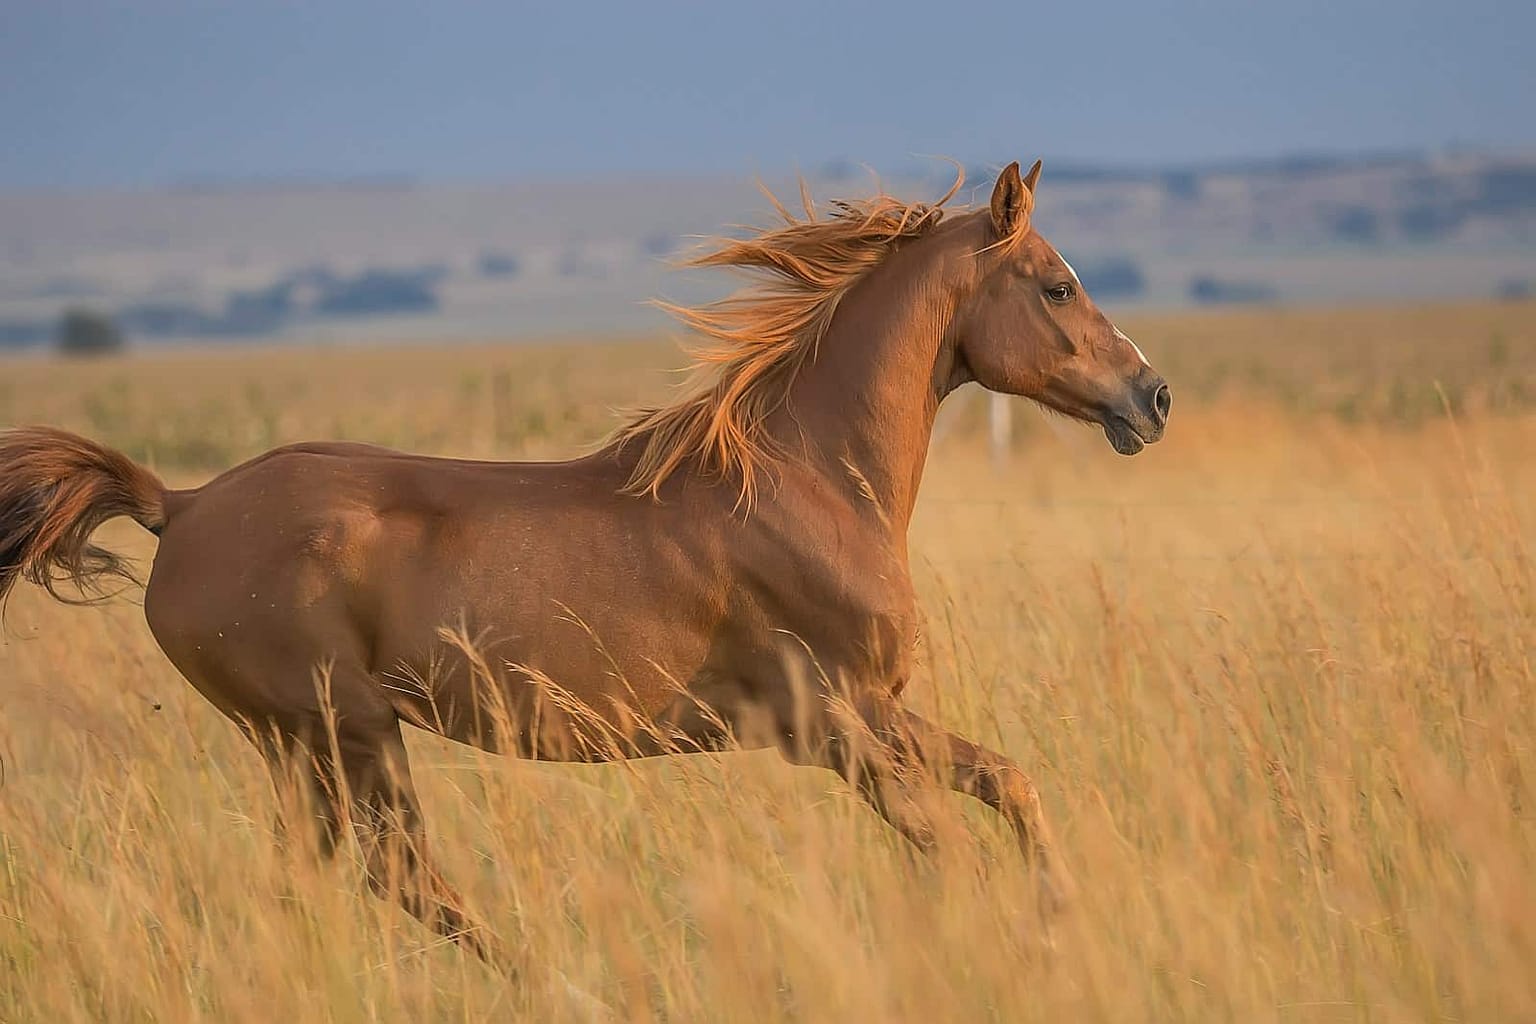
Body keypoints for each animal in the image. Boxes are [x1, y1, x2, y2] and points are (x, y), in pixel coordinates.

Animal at [0, 160, 1169, 964]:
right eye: (1057, 287)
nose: (1151, 397)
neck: (808, 480)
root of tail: (183, 505)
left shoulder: (876, 713)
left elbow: (1010, 783)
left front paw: (1062, 916)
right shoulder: (834, 725)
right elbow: (949, 844)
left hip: (307, 746)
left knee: (330, 880)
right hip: (341, 731)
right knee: (404, 877)